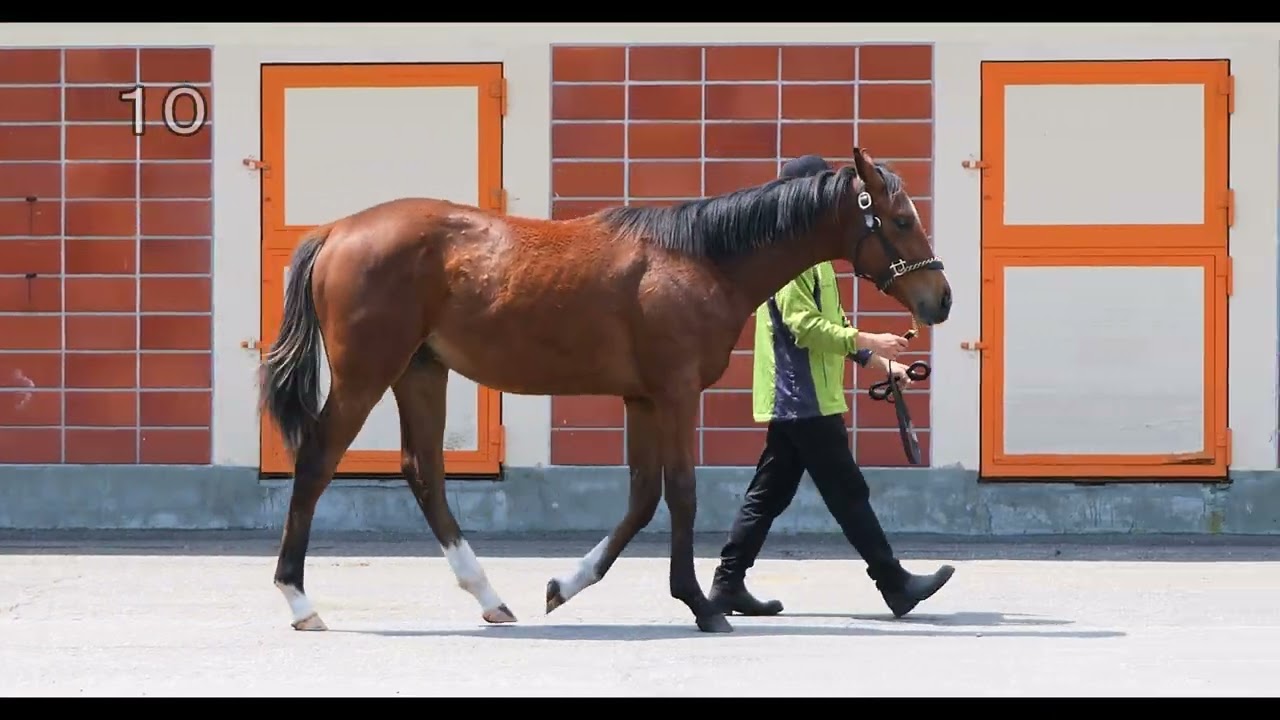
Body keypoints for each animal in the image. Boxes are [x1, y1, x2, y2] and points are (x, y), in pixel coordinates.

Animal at [259, 147, 950, 634]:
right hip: (366, 375)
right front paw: (702, 606)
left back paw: (490, 597)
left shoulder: (641, 400)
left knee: (422, 471)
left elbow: (643, 499)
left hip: (420, 372)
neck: (699, 258)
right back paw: (299, 600)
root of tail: (337, 230)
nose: (939, 299)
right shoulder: (675, 394)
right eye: (901, 218)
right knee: (317, 461)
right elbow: (682, 494)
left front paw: (564, 586)